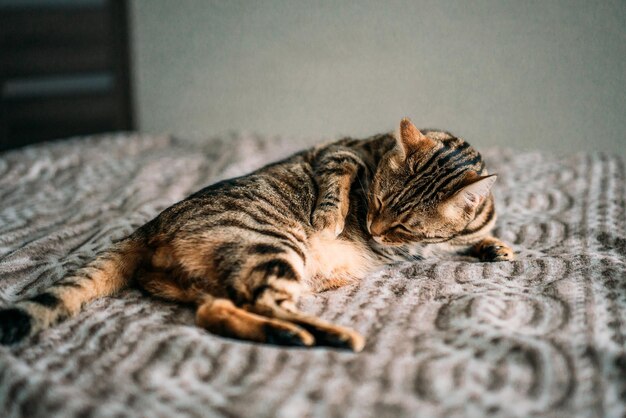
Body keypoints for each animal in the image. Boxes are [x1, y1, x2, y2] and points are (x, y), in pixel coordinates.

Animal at [0, 118, 512, 352]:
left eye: (403, 225)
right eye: (379, 204)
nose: (373, 230)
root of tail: (150, 226)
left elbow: (474, 240)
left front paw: (497, 247)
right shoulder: (339, 151)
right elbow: (336, 182)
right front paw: (331, 218)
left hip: (216, 280)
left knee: (215, 312)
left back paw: (289, 335)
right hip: (272, 248)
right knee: (263, 301)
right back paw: (332, 335)